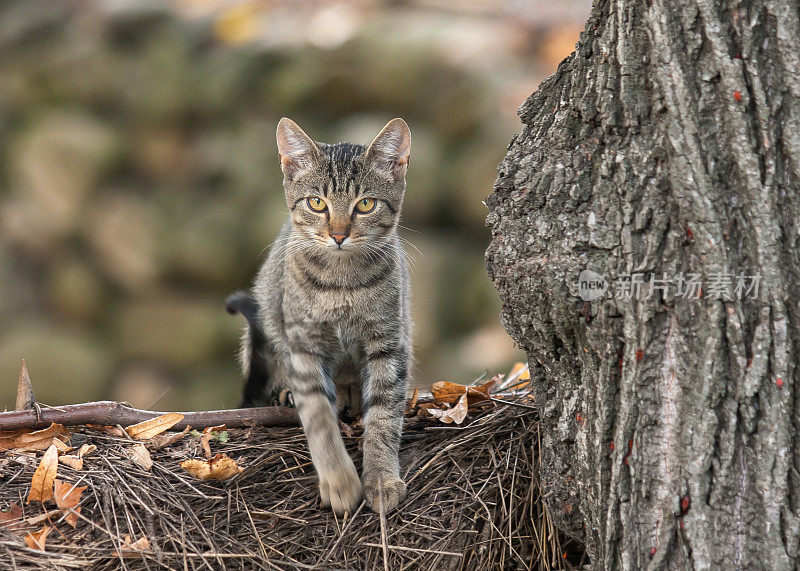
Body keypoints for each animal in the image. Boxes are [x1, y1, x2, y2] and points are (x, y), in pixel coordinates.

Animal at [227, 118, 410, 516]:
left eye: (366, 204)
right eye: (317, 203)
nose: (338, 234)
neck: (342, 283)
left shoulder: (389, 342)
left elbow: (384, 414)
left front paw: (381, 478)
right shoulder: (303, 343)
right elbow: (319, 417)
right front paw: (340, 482)